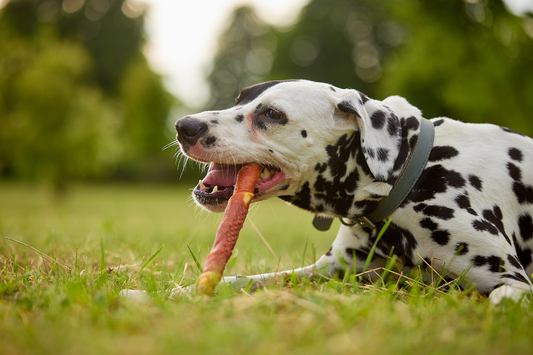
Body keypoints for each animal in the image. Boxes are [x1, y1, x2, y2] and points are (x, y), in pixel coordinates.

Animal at [168, 80, 532, 306]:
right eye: (239, 100)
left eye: (273, 114)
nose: (185, 127)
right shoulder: (329, 271)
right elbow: (241, 280)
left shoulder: (514, 284)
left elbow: (500, 300)